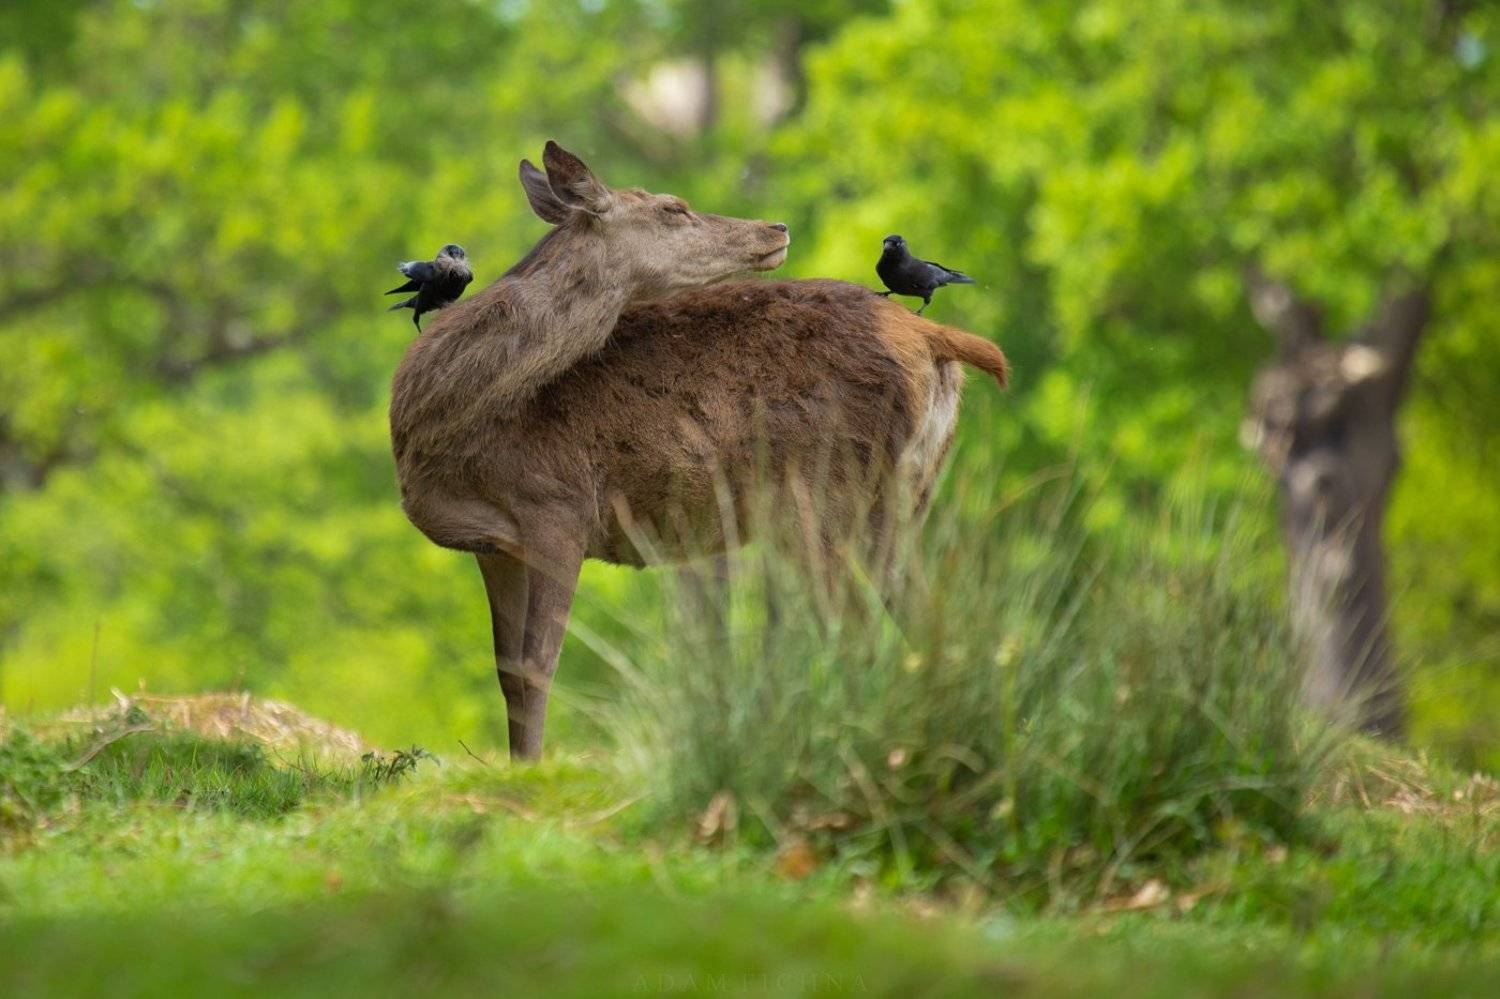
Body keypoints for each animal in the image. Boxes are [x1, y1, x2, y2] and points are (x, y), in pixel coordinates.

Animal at [389, 142, 1009, 760]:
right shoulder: (496, 545)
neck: (452, 430)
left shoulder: (558, 508)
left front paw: (533, 770)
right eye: (673, 208)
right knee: (927, 617)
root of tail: (934, 339)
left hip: (823, 493)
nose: (775, 226)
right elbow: (508, 674)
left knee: (853, 629)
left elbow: (538, 664)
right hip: (904, 496)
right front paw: (519, 764)